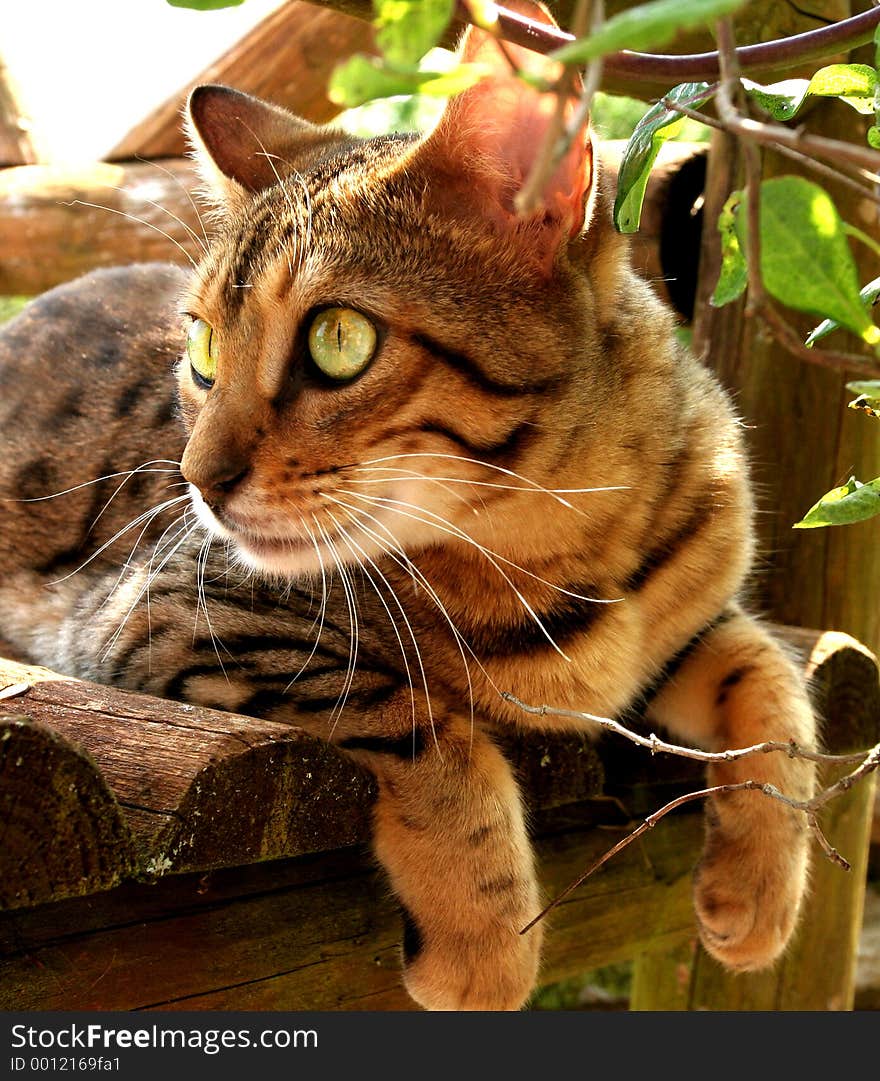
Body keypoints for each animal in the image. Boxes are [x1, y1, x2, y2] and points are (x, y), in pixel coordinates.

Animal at [0, 4, 817, 1007]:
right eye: (201, 349)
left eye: (338, 339)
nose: (195, 478)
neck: (568, 541)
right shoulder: (161, 611)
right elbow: (418, 723)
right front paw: (484, 945)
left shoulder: (692, 613)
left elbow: (774, 681)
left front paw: (760, 892)